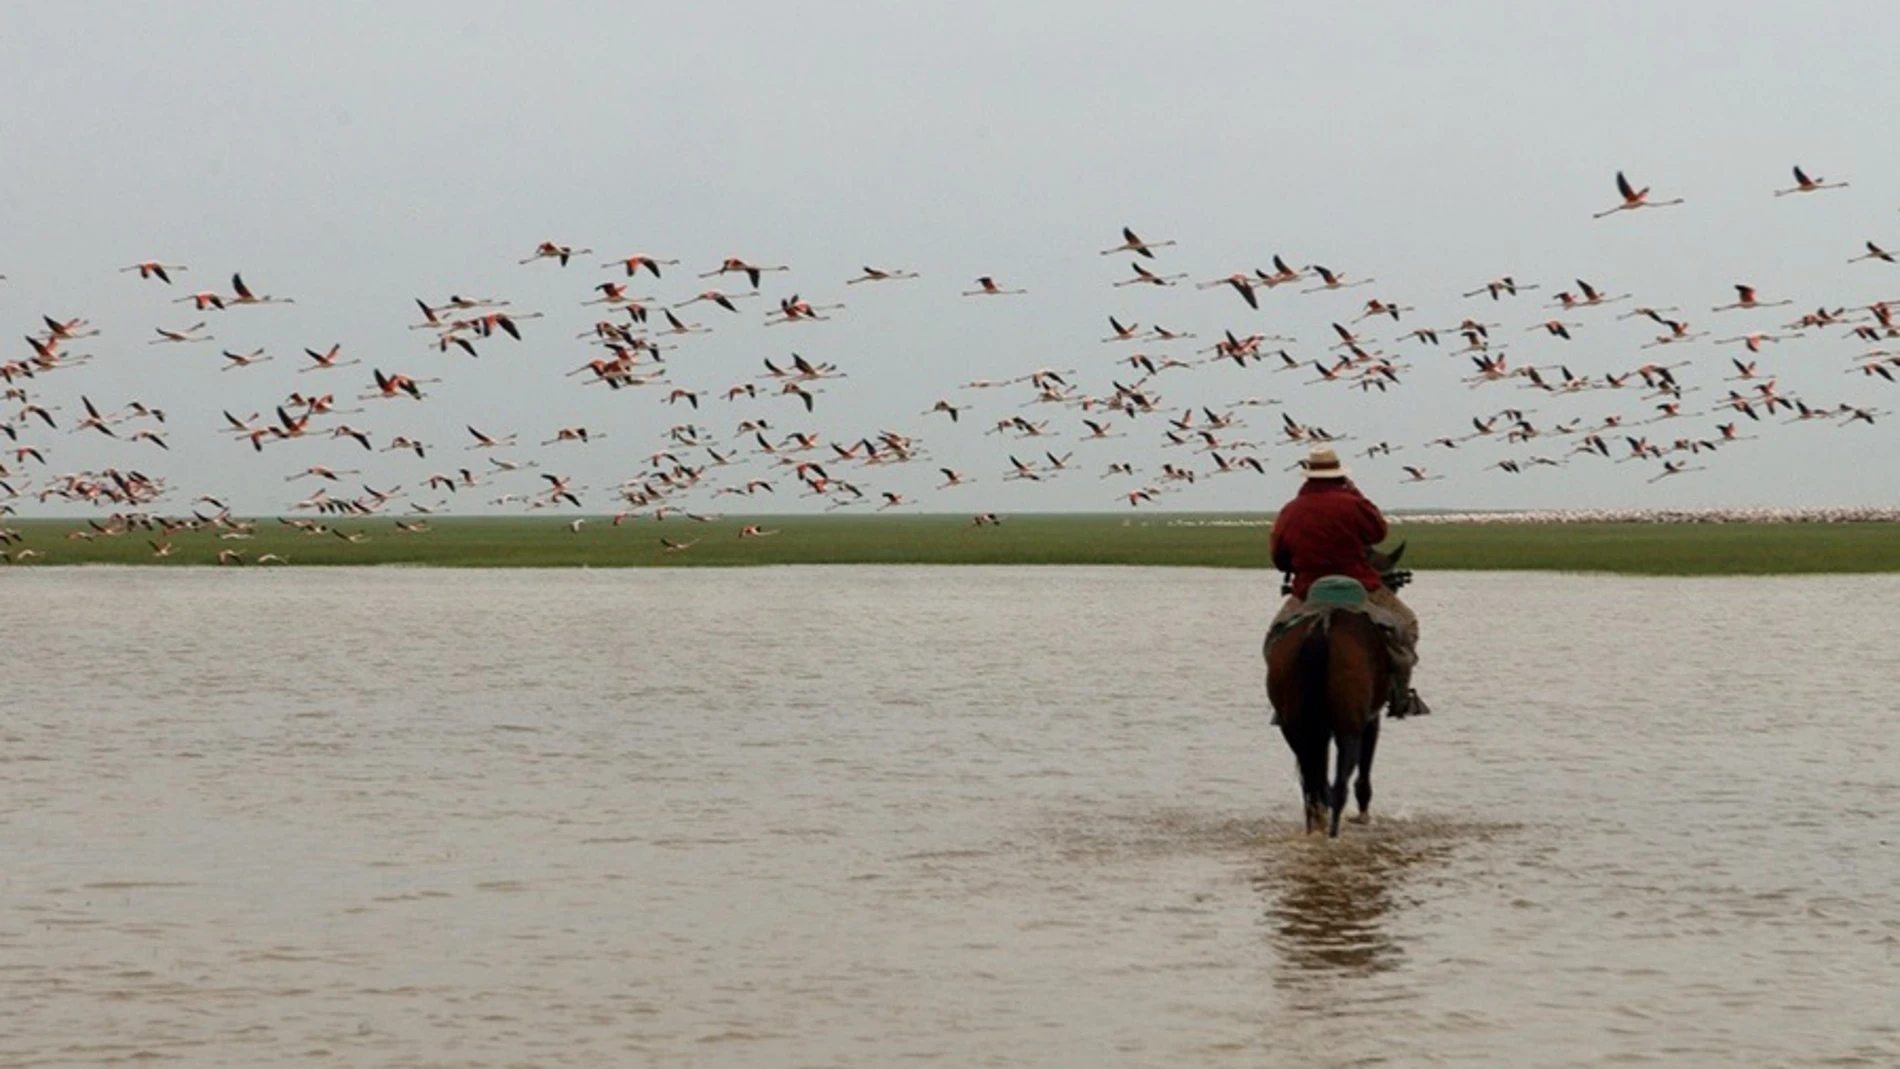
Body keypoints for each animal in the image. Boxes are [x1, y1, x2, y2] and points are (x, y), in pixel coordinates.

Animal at [1261, 546, 1413, 839]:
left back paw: (1316, 828)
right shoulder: (1370, 720)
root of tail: (1324, 624)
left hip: (1295, 728)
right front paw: (1363, 816)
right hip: (1348, 727)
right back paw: (1332, 834)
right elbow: (1363, 772)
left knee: (1312, 787)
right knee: (1339, 784)